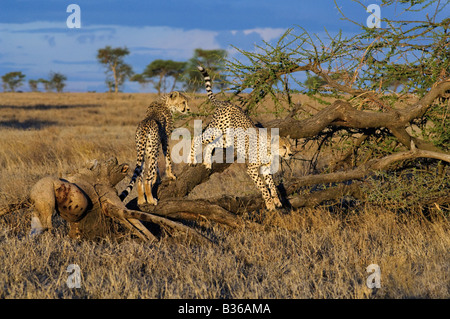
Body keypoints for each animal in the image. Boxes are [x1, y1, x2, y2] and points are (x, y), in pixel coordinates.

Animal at [189, 66, 292, 211]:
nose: (291, 154)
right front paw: (270, 203)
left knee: (210, 144)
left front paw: (276, 200)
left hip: (227, 139)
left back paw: (208, 162)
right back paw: (191, 159)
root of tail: (226, 102)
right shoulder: (252, 169)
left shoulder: (265, 169)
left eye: (290, 146)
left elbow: (271, 185)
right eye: (283, 147)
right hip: (215, 130)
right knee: (197, 138)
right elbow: (263, 187)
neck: (270, 149)